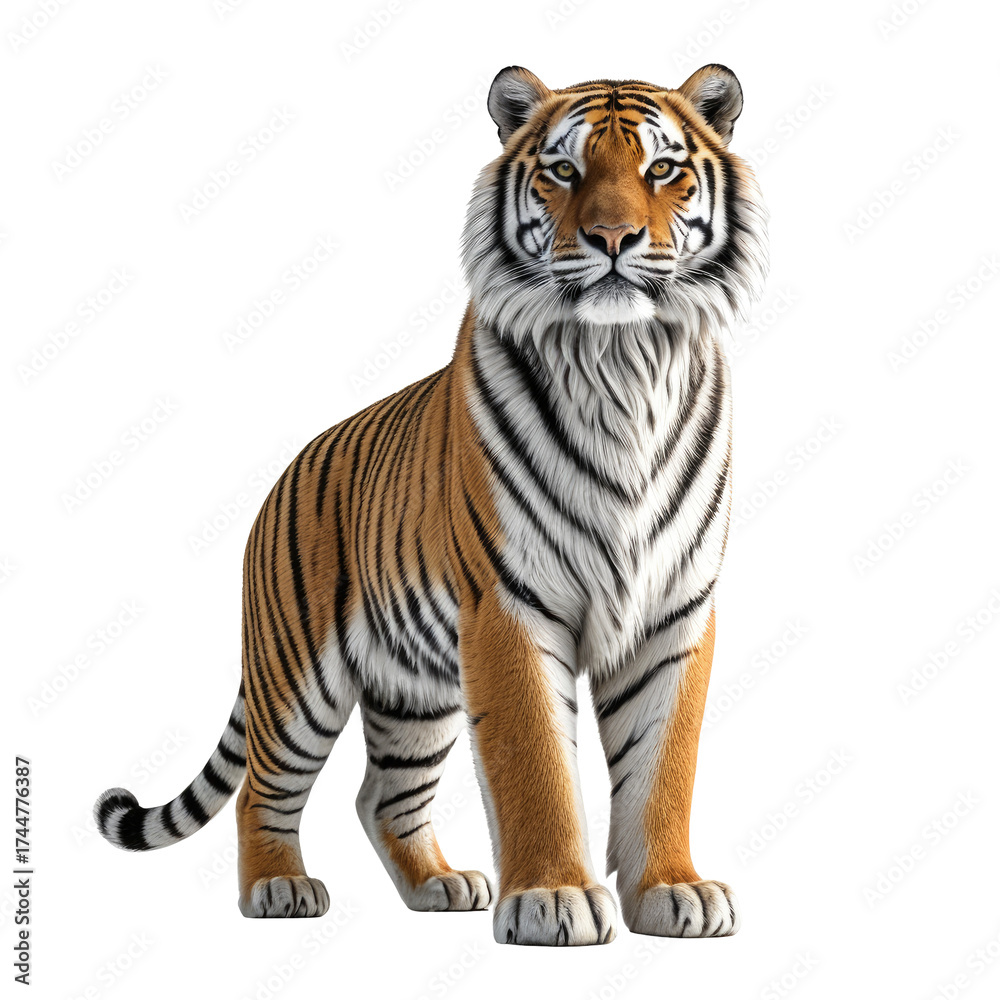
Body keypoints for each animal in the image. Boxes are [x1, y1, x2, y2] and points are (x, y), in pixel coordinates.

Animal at [95, 63, 768, 947]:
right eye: (564, 170)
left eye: (661, 170)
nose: (613, 239)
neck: (620, 359)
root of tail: (281, 477)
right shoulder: (508, 607)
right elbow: (535, 764)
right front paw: (555, 898)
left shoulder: (672, 608)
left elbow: (665, 763)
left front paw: (674, 891)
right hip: (297, 676)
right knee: (262, 789)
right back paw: (279, 888)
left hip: (415, 689)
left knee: (382, 795)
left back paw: (440, 885)